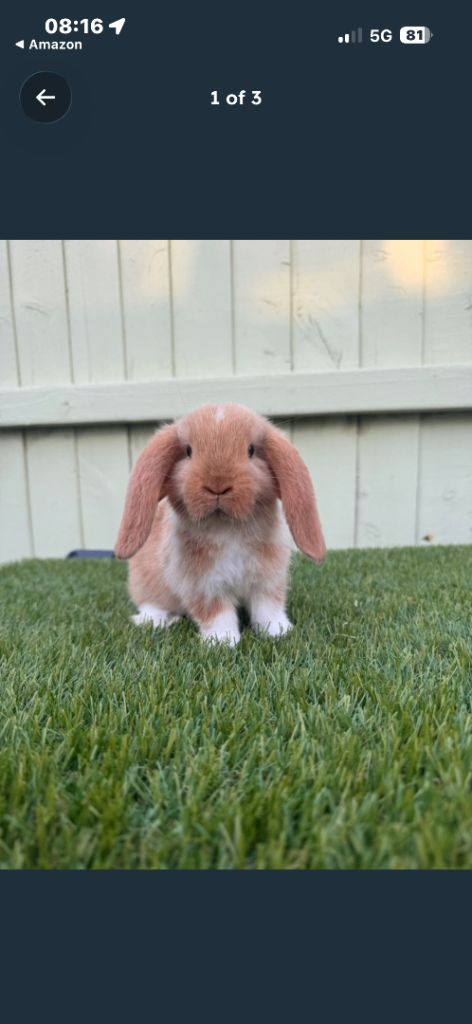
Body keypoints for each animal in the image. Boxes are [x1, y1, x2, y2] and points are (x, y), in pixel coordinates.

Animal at [114, 402, 326, 647]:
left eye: (251, 450)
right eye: (189, 451)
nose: (218, 484)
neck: (226, 527)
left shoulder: (267, 581)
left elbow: (268, 609)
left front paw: (279, 632)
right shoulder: (204, 587)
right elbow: (216, 614)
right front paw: (223, 642)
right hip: (147, 583)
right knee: (151, 604)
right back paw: (156, 621)